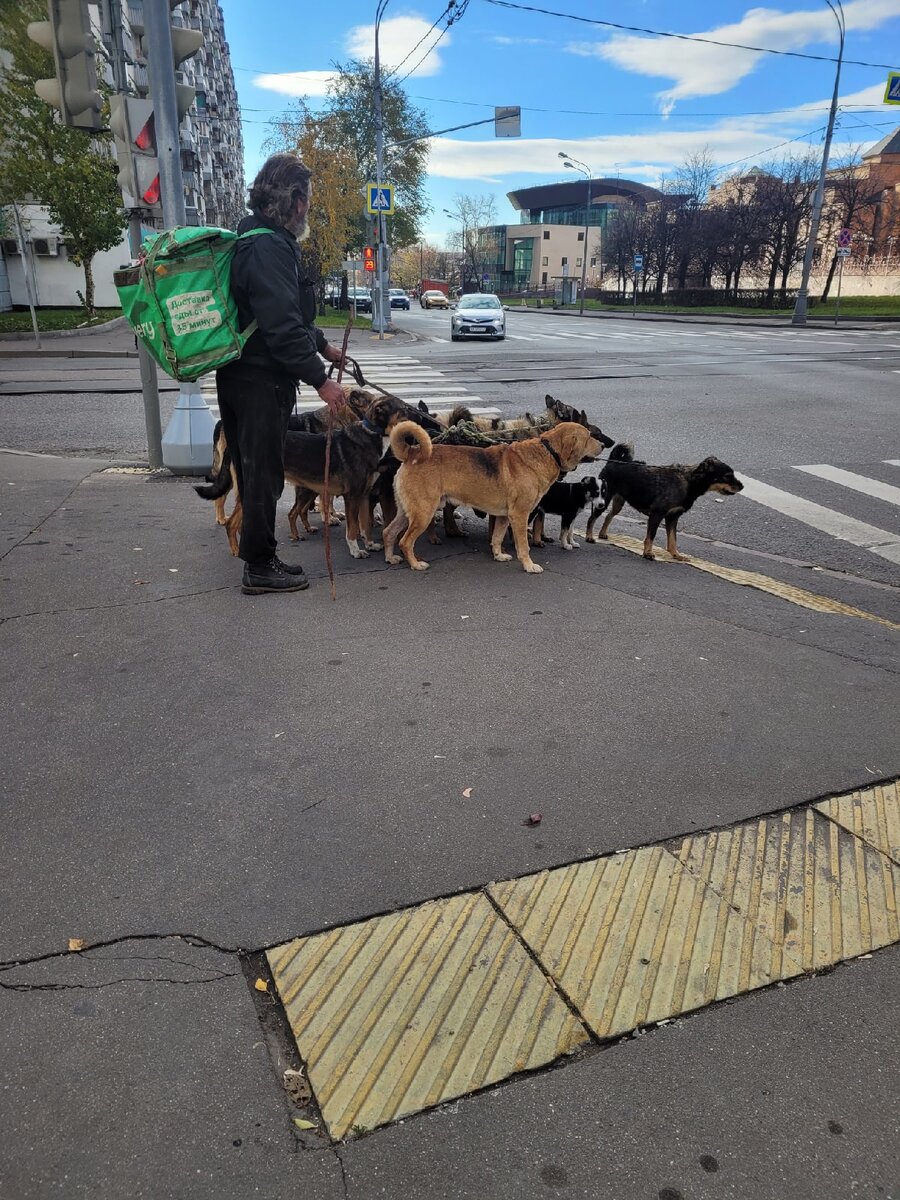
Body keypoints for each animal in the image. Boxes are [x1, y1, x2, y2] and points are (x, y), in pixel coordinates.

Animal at [381, 420, 602, 573]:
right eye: (589, 436)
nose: (603, 445)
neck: (547, 451)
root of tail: (412, 453)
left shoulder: (504, 517)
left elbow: (496, 538)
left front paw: (498, 555)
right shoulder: (520, 516)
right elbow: (524, 546)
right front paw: (529, 565)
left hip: (407, 513)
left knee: (389, 533)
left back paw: (390, 558)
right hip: (423, 514)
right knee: (405, 542)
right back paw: (415, 564)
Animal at [585, 446, 748, 561]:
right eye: (727, 476)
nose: (742, 486)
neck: (690, 482)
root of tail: (612, 461)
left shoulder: (673, 518)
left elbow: (672, 540)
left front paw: (676, 555)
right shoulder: (657, 514)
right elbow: (651, 536)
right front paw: (648, 553)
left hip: (618, 502)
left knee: (608, 516)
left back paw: (602, 533)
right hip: (603, 501)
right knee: (591, 518)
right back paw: (589, 537)